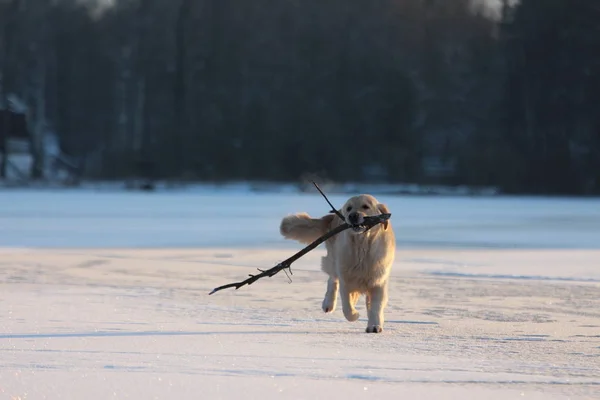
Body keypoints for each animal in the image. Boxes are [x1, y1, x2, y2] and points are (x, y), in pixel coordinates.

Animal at [280, 195, 396, 332]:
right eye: (349, 208)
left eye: (366, 206)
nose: (353, 216)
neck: (362, 247)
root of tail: (332, 216)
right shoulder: (346, 279)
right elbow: (347, 307)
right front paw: (355, 314)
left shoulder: (378, 281)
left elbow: (375, 307)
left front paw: (374, 325)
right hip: (334, 260)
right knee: (332, 279)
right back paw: (328, 304)